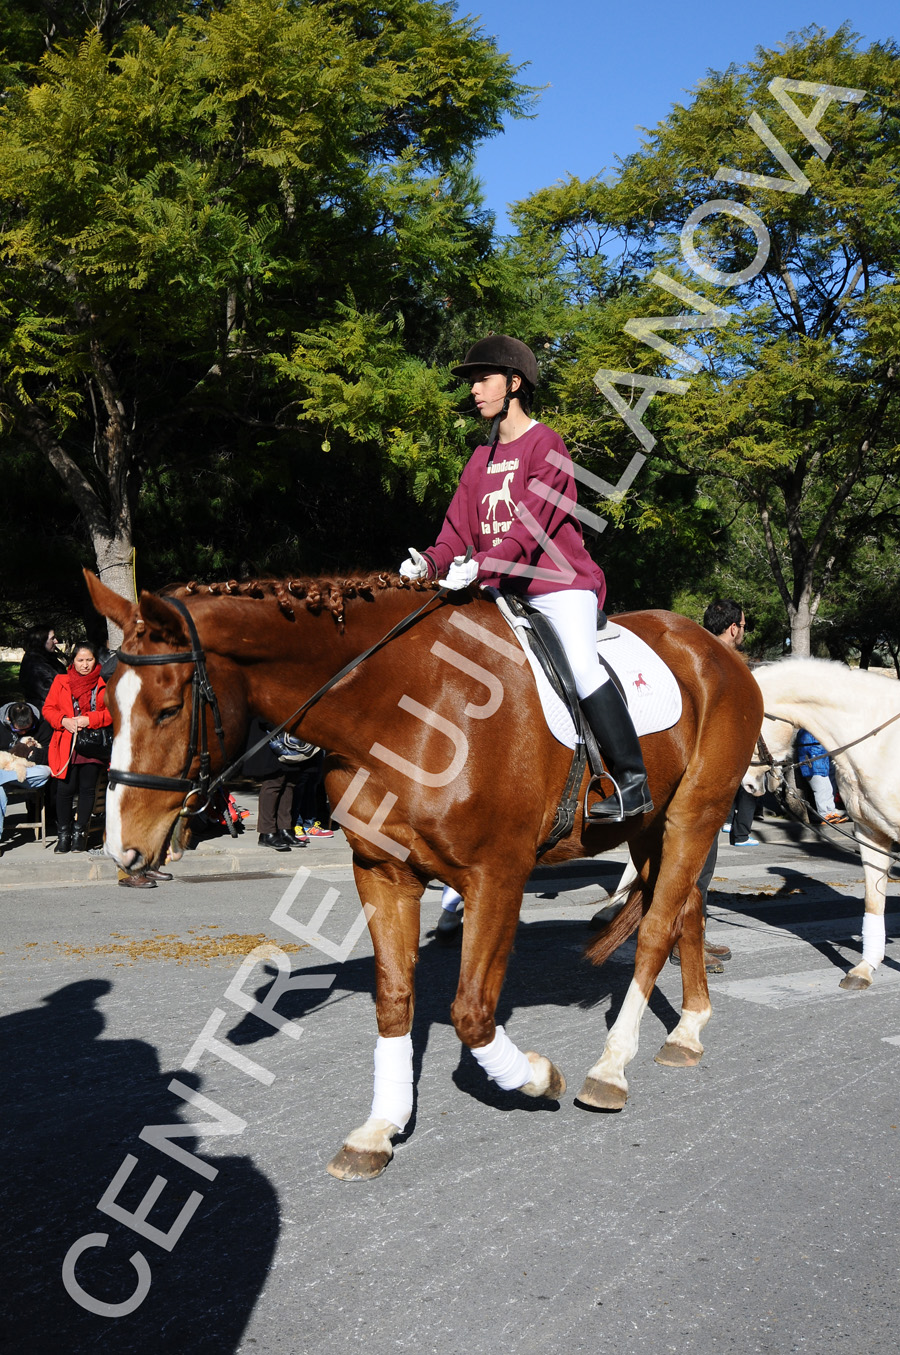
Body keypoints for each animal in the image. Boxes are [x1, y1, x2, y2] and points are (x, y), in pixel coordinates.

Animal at [84, 571, 764, 1176]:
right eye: (107, 701)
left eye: (168, 709)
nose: (121, 850)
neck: (408, 706)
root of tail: (716, 650)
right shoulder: (382, 872)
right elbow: (394, 1001)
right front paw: (379, 1129)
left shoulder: (497, 875)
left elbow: (471, 1012)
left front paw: (537, 1077)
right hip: (657, 827)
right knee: (684, 910)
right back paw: (688, 1029)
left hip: (693, 815)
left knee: (655, 929)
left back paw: (611, 1066)